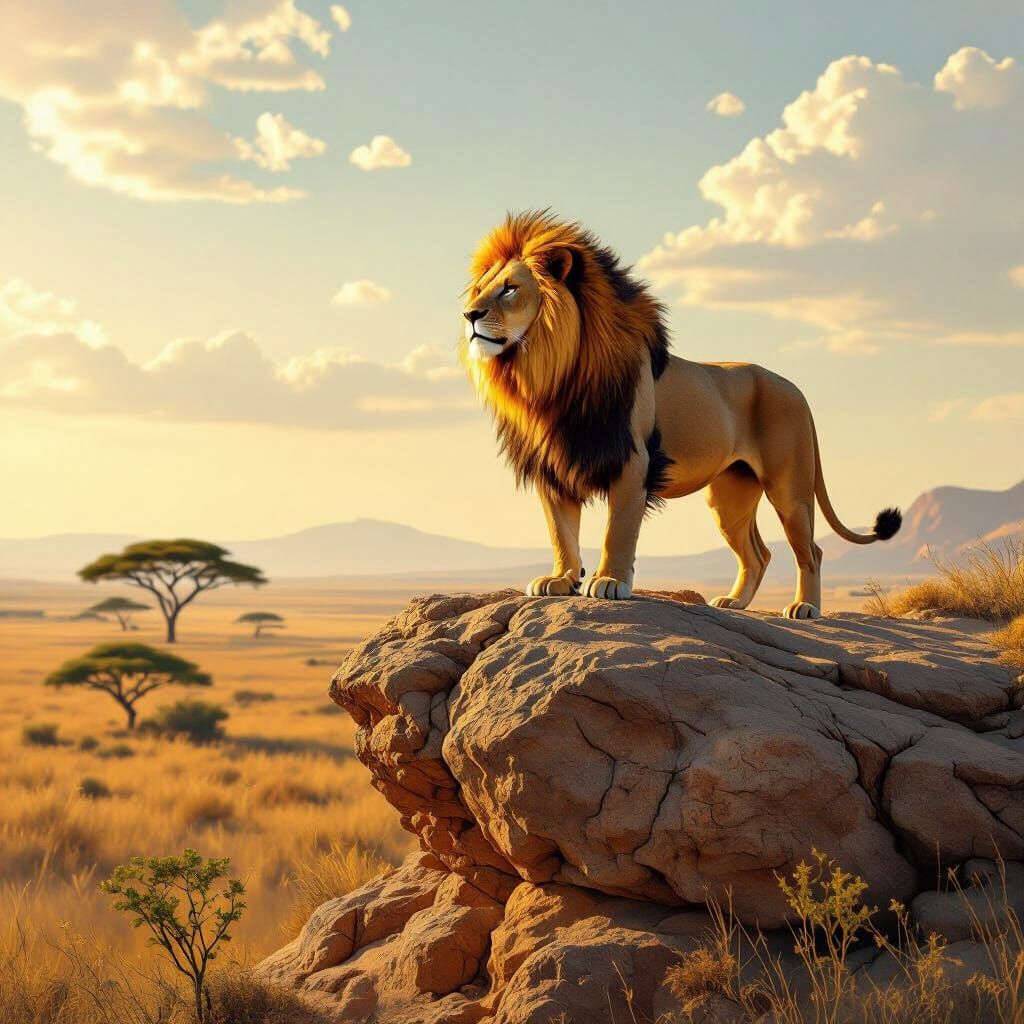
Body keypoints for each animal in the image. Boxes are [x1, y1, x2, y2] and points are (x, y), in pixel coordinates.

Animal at [460, 211, 901, 618]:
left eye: (510, 289)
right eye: (480, 290)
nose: (469, 315)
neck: (547, 375)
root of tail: (796, 389)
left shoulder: (632, 460)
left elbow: (617, 531)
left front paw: (609, 582)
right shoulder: (554, 465)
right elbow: (561, 531)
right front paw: (561, 578)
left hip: (789, 488)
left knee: (810, 550)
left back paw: (805, 607)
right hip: (729, 498)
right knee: (759, 554)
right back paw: (734, 602)